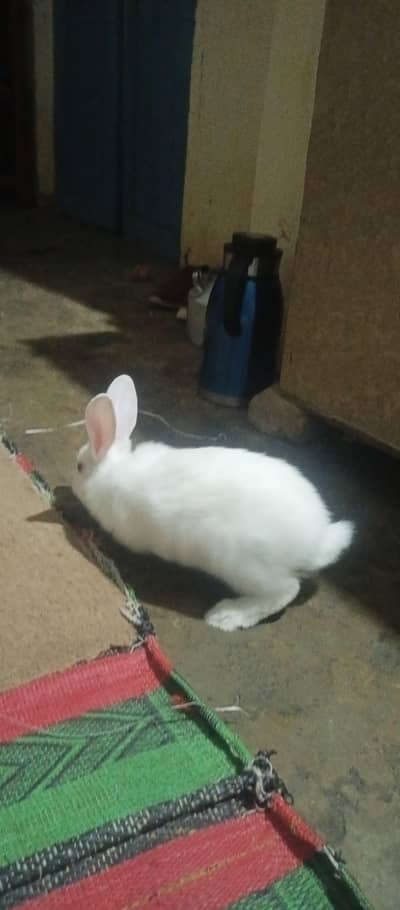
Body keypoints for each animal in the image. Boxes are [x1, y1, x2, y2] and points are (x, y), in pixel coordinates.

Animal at [72, 374, 354, 632]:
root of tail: (317, 542)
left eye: (79, 467)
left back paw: (226, 616)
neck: (114, 472)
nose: (71, 480)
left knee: (285, 591)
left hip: (246, 568)